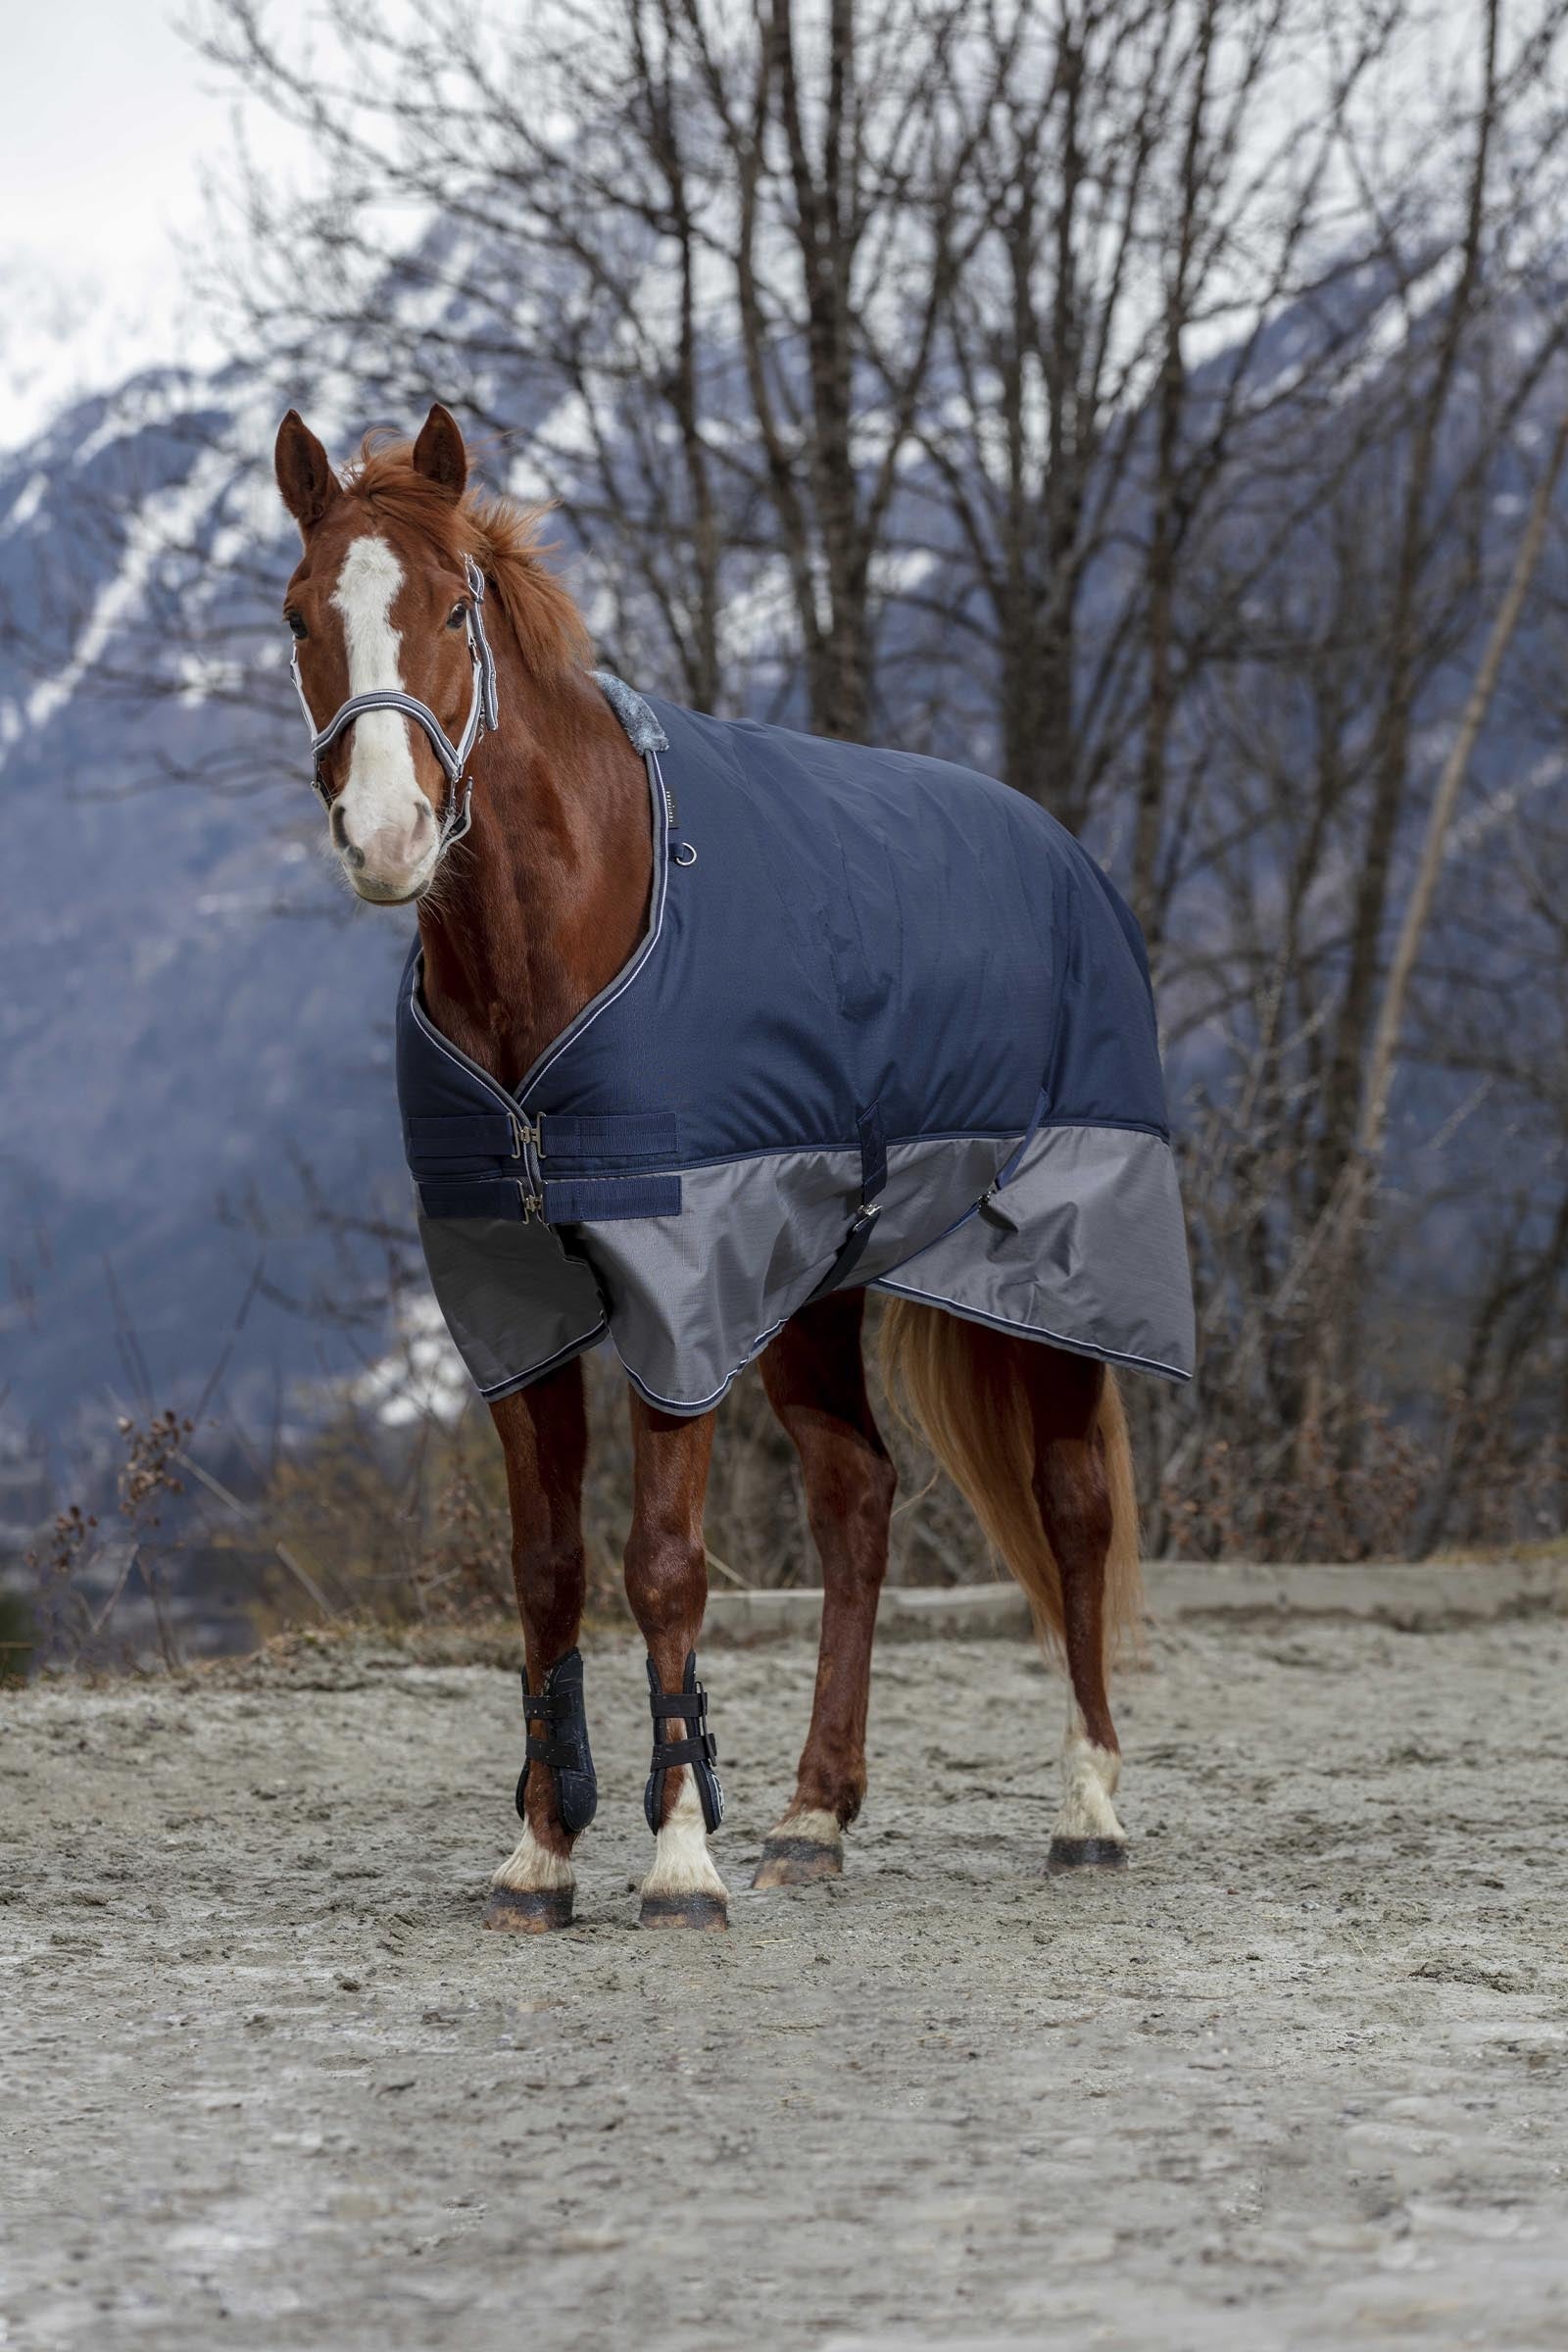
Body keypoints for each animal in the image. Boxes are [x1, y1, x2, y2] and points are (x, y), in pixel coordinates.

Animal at [273, 402, 1192, 1931]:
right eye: (300, 619)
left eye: (456, 607)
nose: (387, 838)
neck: (568, 936)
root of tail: (1060, 849)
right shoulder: (512, 1298)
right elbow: (545, 1571)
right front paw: (544, 1851)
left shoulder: (681, 1287)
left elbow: (661, 1568)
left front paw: (677, 1860)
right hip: (817, 1284)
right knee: (857, 1501)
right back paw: (814, 1817)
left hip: (1058, 1275)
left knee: (1073, 1510)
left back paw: (1091, 1810)